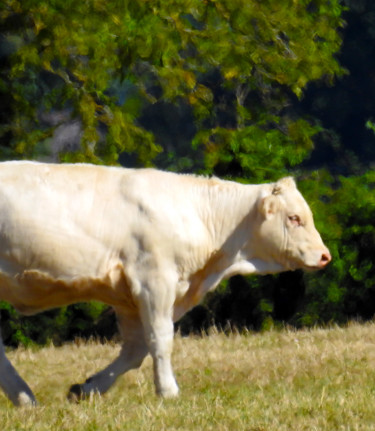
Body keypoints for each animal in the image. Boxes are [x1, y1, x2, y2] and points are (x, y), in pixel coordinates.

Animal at [0, 161, 332, 404]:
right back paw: (24, 397)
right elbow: (160, 339)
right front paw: (168, 392)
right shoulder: (154, 280)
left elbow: (135, 351)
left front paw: (87, 388)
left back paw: (24, 398)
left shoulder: (130, 296)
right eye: (294, 218)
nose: (325, 256)